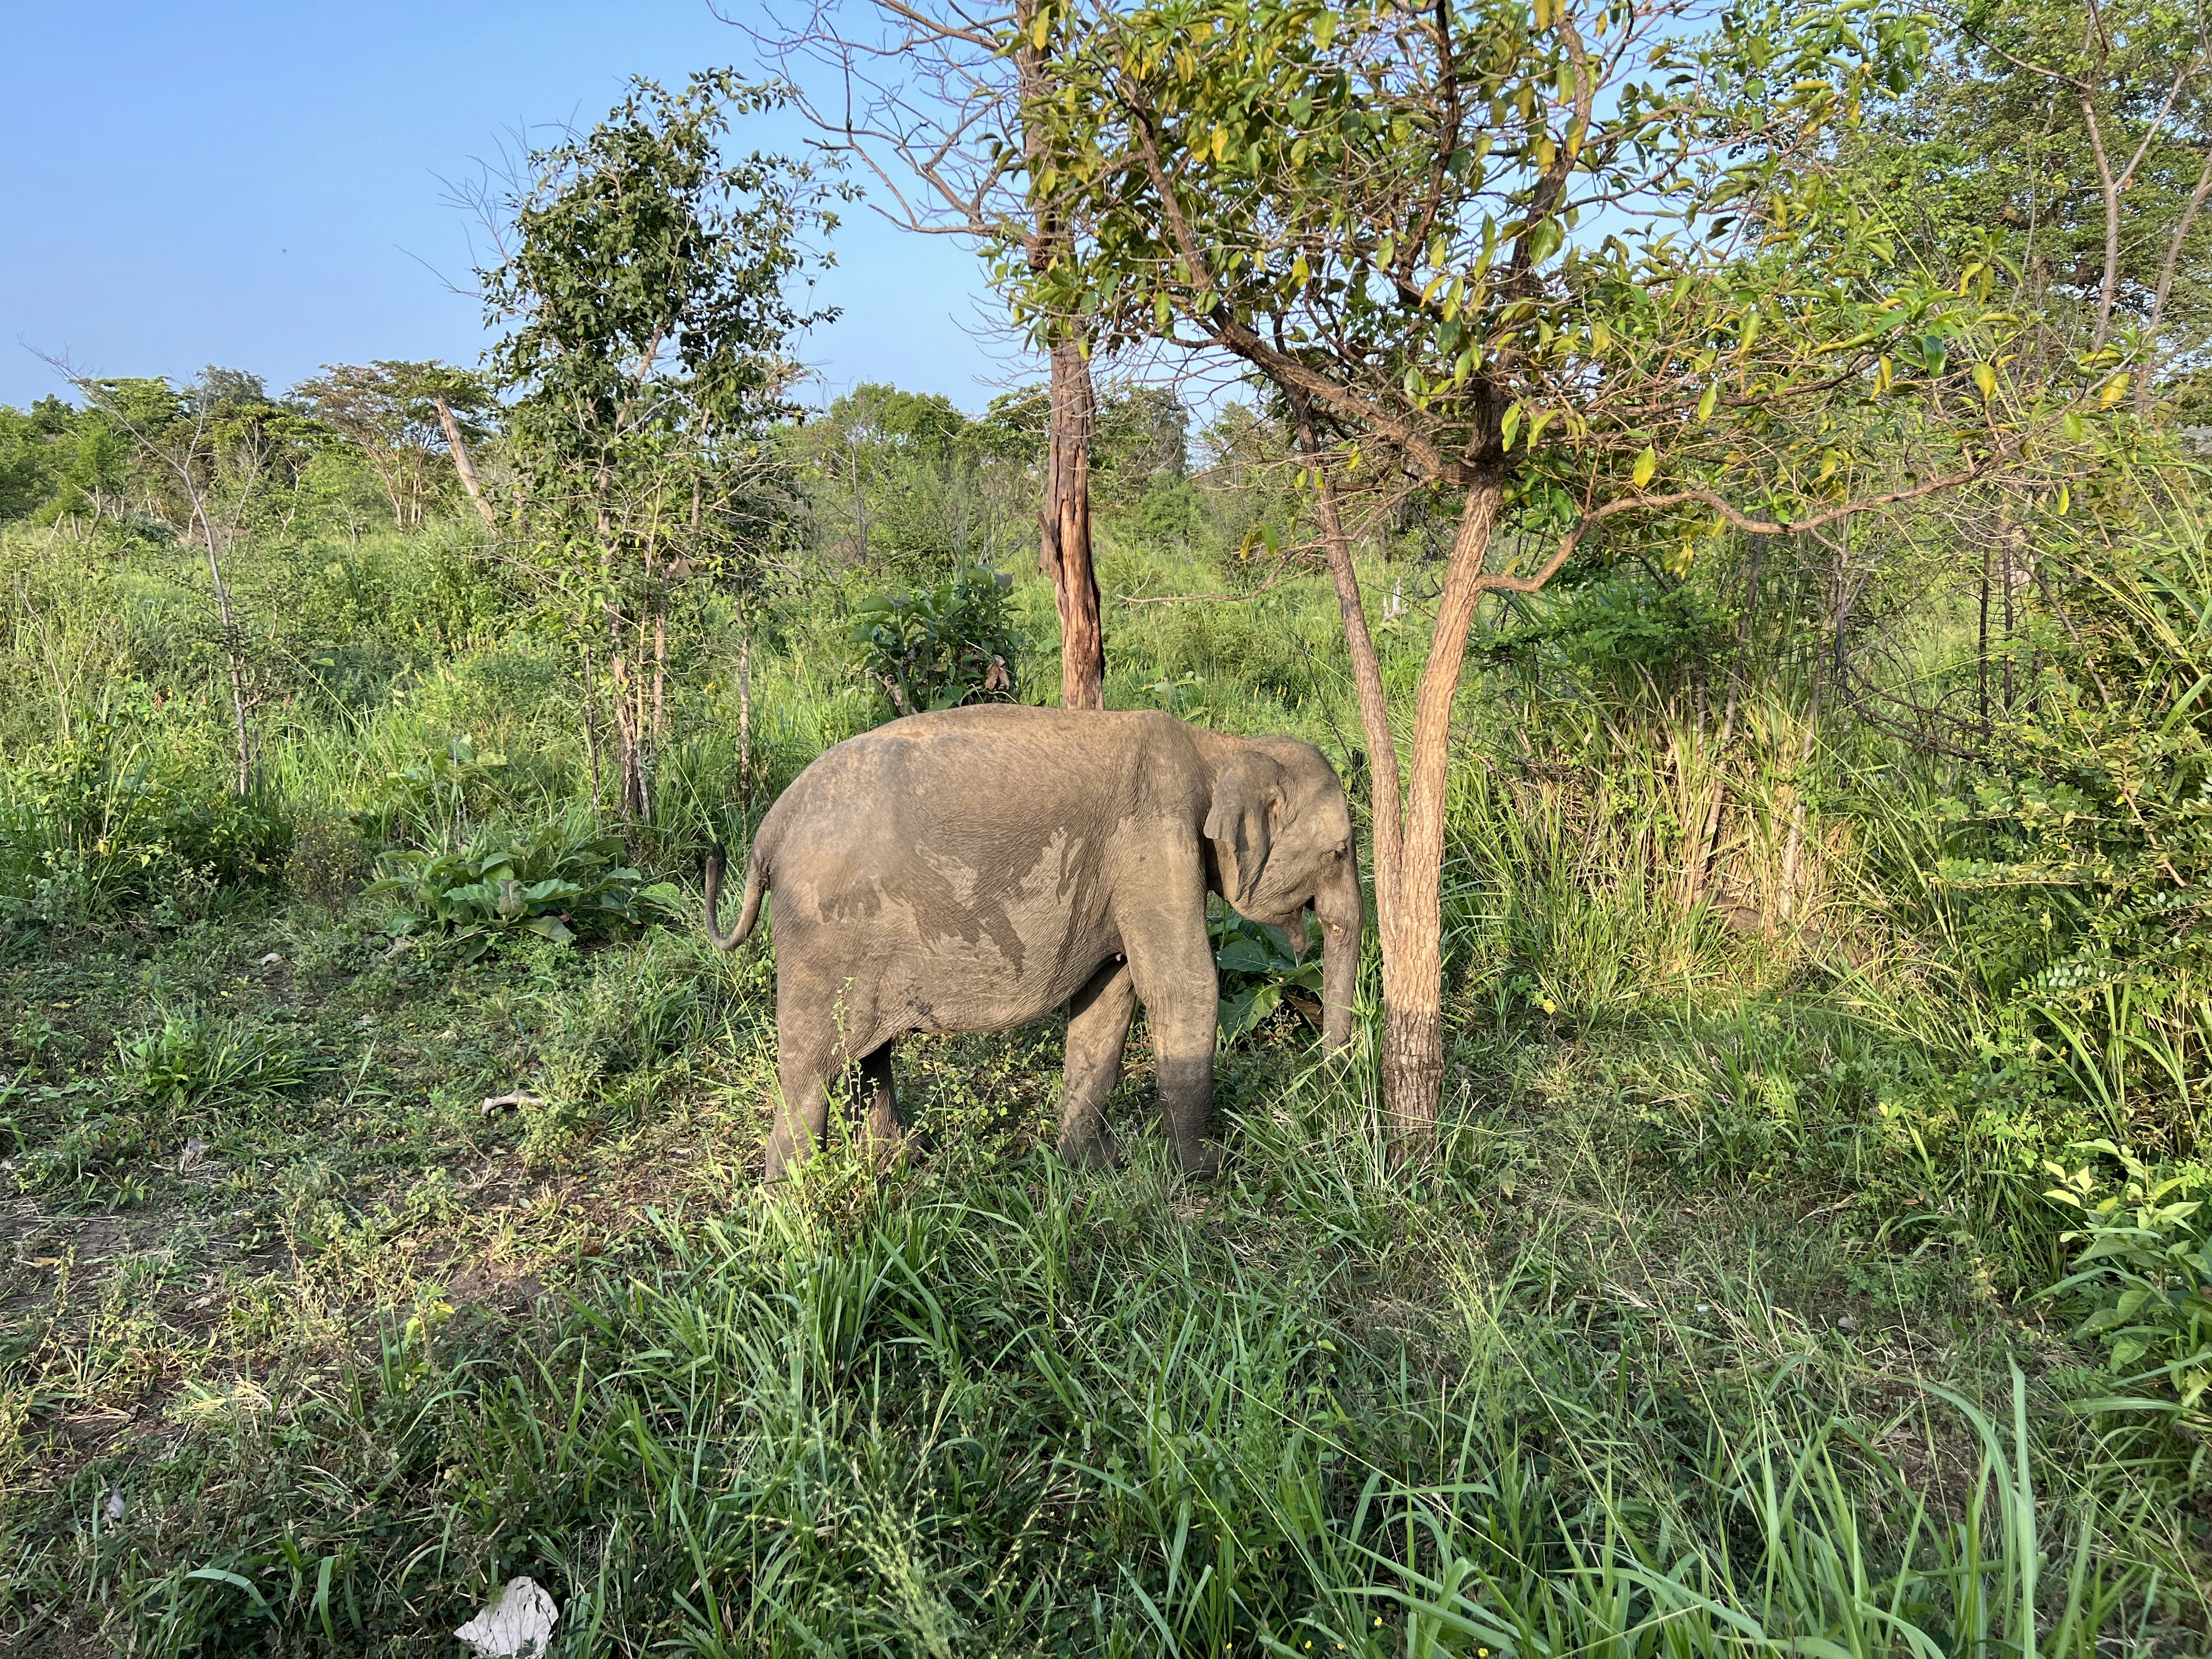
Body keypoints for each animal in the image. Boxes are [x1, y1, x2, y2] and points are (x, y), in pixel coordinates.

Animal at [703, 704, 1362, 1180]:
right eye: (1339, 852)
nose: (1327, 1085)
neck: (1220, 747)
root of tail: (767, 834)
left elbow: (1109, 994)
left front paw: (1091, 1167)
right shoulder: (1156, 837)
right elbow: (1185, 986)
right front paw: (1207, 1171)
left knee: (869, 1056)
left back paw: (896, 1167)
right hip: (820, 937)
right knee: (810, 1073)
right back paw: (796, 1205)